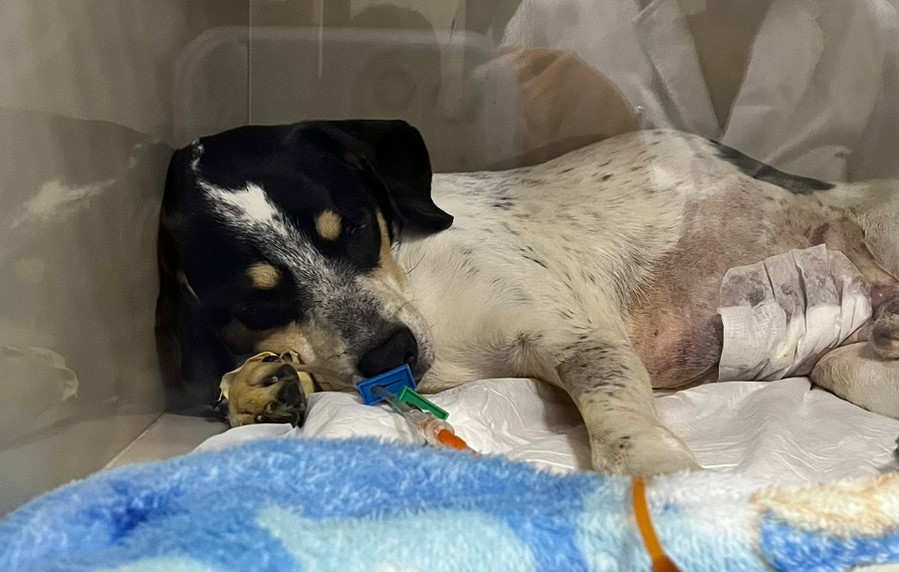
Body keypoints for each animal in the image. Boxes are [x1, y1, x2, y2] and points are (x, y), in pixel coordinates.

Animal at [156, 120, 899, 475]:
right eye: (256, 301)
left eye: (357, 224)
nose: (393, 355)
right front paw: (254, 388)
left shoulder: (579, 340)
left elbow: (618, 422)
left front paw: (657, 473)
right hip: (847, 369)